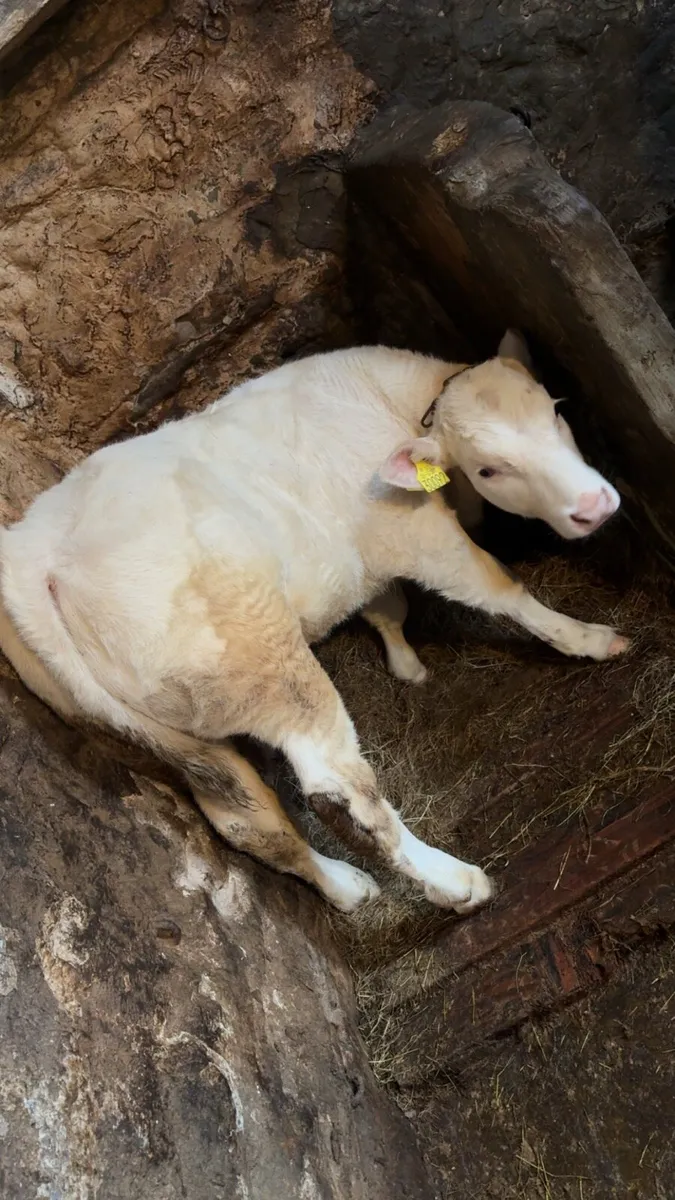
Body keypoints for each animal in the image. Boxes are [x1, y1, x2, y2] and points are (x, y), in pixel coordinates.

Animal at [0, 331, 627, 913]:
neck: (389, 401)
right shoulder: (416, 532)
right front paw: (590, 639)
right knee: (337, 783)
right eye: (489, 469)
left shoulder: (363, 552)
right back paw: (455, 881)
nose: (594, 506)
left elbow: (383, 606)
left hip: (164, 728)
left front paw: (405, 663)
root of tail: (38, 555)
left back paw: (347, 888)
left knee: (246, 819)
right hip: (265, 660)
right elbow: (498, 587)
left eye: (555, 412)